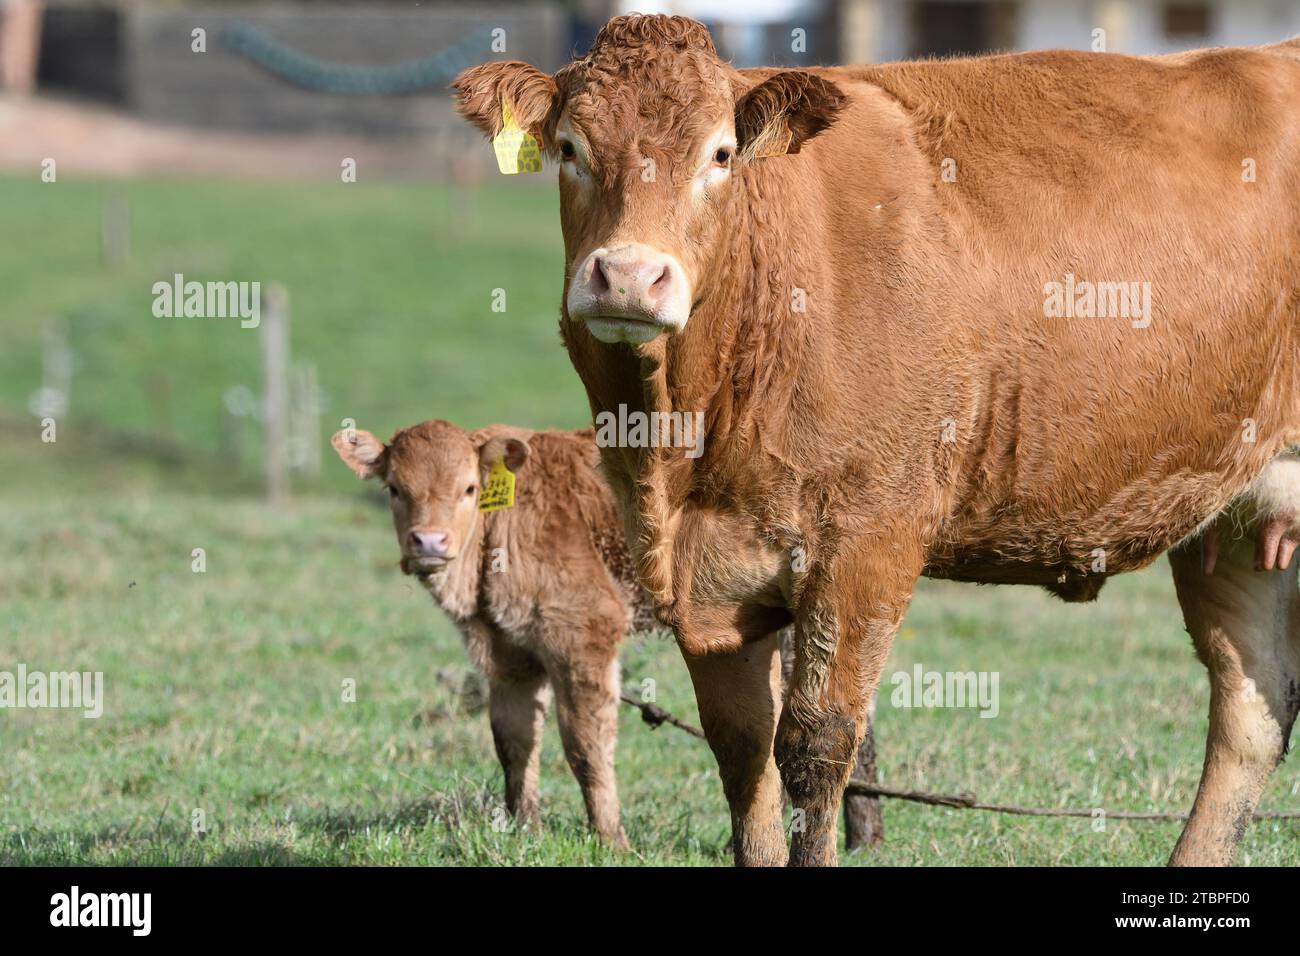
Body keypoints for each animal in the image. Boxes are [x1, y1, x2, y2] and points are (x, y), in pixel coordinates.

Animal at [332, 420, 653, 848]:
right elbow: (514, 743)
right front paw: (525, 830)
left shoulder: (583, 630)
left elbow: (586, 747)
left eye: (469, 488)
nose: (429, 541)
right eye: (395, 488)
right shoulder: (509, 656)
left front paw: (611, 841)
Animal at [454, 15, 1300, 866]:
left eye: (719, 155)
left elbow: (816, 744)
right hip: (1237, 523)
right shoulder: (707, 578)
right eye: (570, 147)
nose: (628, 276)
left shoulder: (868, 541)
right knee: (1251, 711)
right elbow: (742, 751)